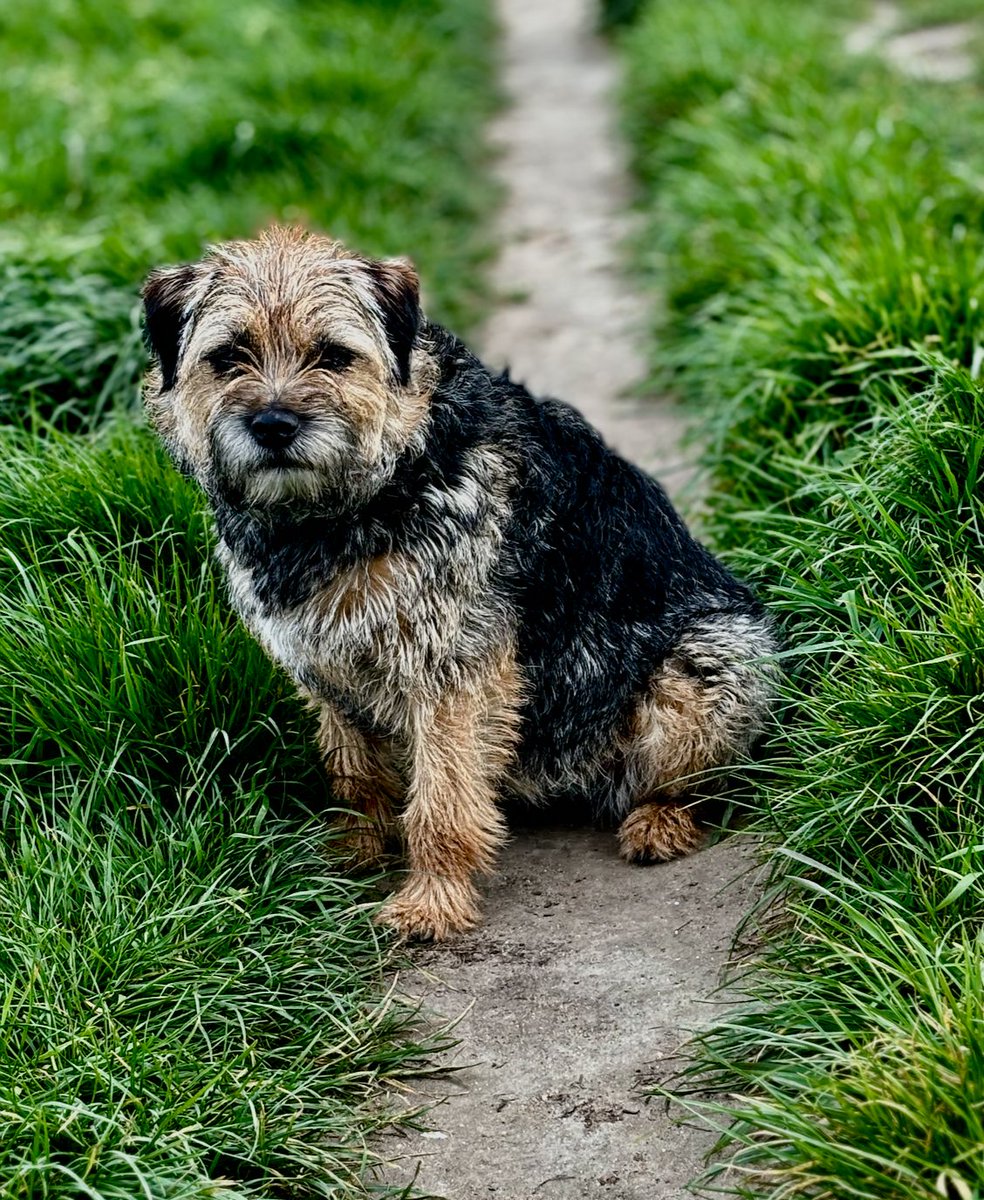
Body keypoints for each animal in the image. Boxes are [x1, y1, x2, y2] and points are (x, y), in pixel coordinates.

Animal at [144, 223, 777, 936]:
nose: (273, 425)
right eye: (228, 356)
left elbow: (441, 799)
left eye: (333, 355)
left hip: (707, 660)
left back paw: (660, 821)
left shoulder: (449, 667)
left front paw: (433, 900)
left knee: (699, 782)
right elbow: (353, 770)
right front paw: (354, 848)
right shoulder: (325, 669)